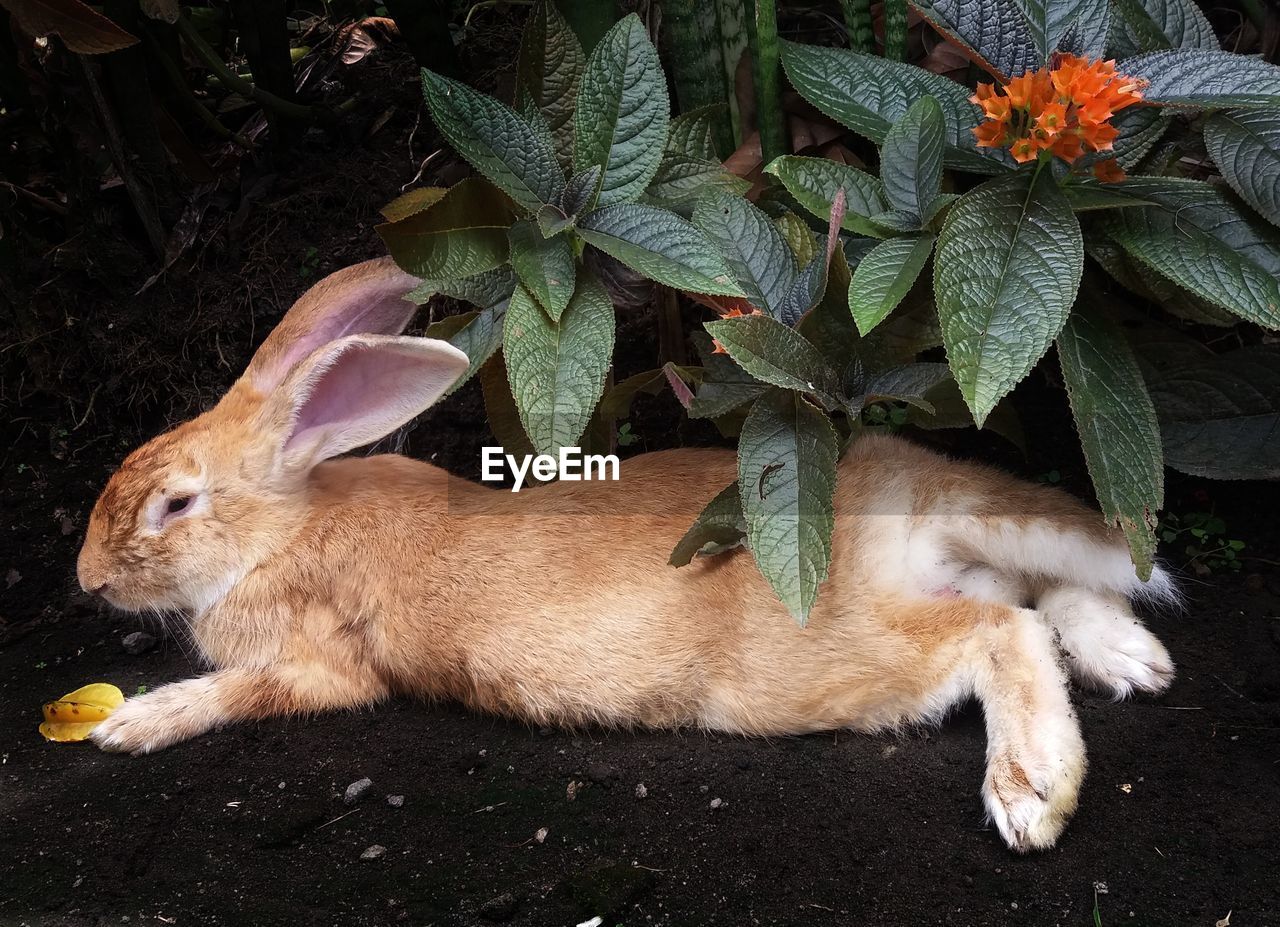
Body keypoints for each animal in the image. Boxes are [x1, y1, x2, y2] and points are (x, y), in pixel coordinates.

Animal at [80, 257, 1172, 850]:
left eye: (174, 503)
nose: (88, 580)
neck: (284, 521)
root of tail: (894, 496)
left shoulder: (320, 664)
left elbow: (245, 692)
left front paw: (127, 726)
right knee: (1040, 591)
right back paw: (1131, 658)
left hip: (820, 665)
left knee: (1001, 628)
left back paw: (1030, 790)